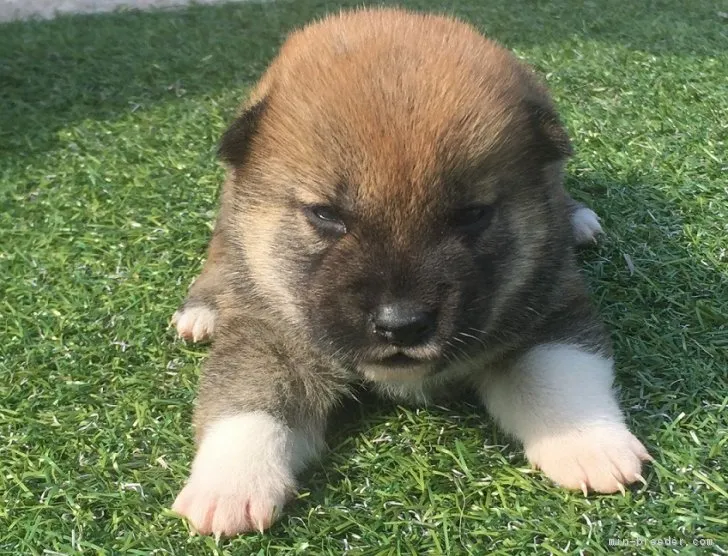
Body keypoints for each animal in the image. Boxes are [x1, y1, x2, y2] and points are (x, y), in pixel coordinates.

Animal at [169, 7, 648, 536]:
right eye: (326, 214)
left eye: (472, 214)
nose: (401, 325)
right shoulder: (268, 332)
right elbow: (247, 401)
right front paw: (230, 484)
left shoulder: (549, 308)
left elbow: (562, 372)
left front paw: (588, 442)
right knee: (221, 245)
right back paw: (203, 308)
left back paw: (578, 218)